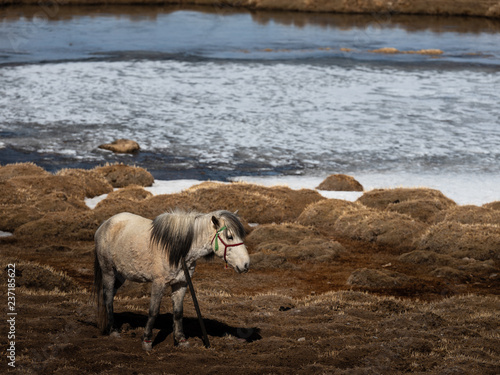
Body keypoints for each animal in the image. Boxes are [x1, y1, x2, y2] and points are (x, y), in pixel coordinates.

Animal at [93, 210, 249, 352]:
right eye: (229, 236)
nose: (246, 264)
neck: (179, 250)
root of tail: (104, 224)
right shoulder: (159, 283)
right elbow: (153, 311)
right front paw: (147, 341)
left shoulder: (181, 284)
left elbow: (178, 312)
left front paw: (181, 340)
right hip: (108, 272)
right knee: (108, 297)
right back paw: (113, 330)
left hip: (120, 275)